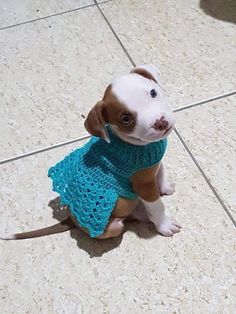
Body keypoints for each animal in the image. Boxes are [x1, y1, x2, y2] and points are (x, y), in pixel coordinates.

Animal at [0, 63, 181, 240]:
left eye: (153, 93)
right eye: (126, 119)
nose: (160, 123)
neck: (137, 144)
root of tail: (71, 219)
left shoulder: (153, 162)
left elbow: (161, 172)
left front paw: (164, 187)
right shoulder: (143, 185)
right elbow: (156, 206)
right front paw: (164, 225)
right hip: (115, 225)